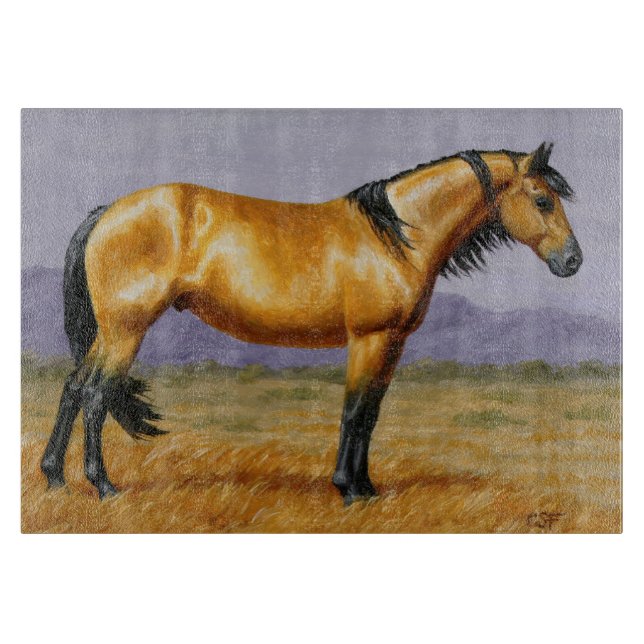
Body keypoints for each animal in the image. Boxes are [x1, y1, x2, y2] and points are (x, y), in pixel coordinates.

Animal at [40, 142, 582, 504]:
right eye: (542, 200)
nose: (573, 261)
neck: (395, 236)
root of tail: (106, 212)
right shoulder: (369, 339)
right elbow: (354, 410)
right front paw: (349, 490)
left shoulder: (393, 343)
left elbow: (370, 414)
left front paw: (366, 487)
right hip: (125, 331)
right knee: (95, 394)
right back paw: (103, 485)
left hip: (110, 334)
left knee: (73, 387)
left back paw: (54, 476)